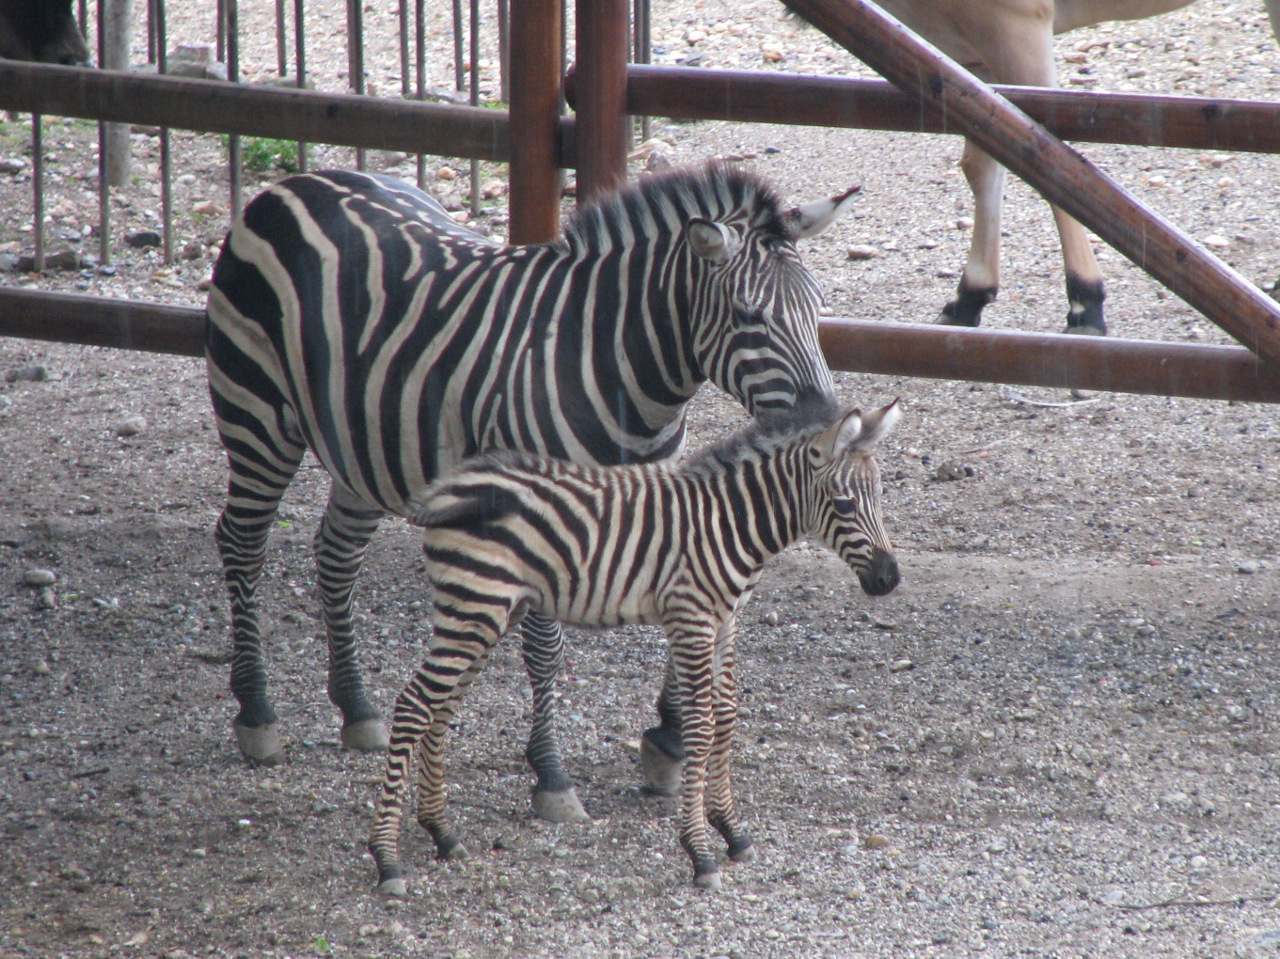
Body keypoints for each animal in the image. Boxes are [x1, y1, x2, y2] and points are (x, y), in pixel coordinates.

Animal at [205, 163, 859, 821]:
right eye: (749, 315)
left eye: (819, 308)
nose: (825, 421)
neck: (620, 369)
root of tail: (296, 182)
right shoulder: (539, 512)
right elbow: (546, 649)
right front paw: (552, 775)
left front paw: (667, 743)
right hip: (258, 413)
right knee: (242, 542)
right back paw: (257, 712)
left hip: (364, 442)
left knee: (336, 555)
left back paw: (356, 708)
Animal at [369, 399, 901, 896]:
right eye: (845, 505)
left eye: (880, 496)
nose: (889, 580)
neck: (730, 522)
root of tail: (449, 486)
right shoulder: (690, 618)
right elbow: (702, 724)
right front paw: (700, 852)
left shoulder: (727, 621)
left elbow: (728, 716)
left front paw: (731, 831)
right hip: (475, 606)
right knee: (414, 705)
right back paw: (387, 860)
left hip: (488, 612)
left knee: (440, 708)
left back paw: (441, 833)